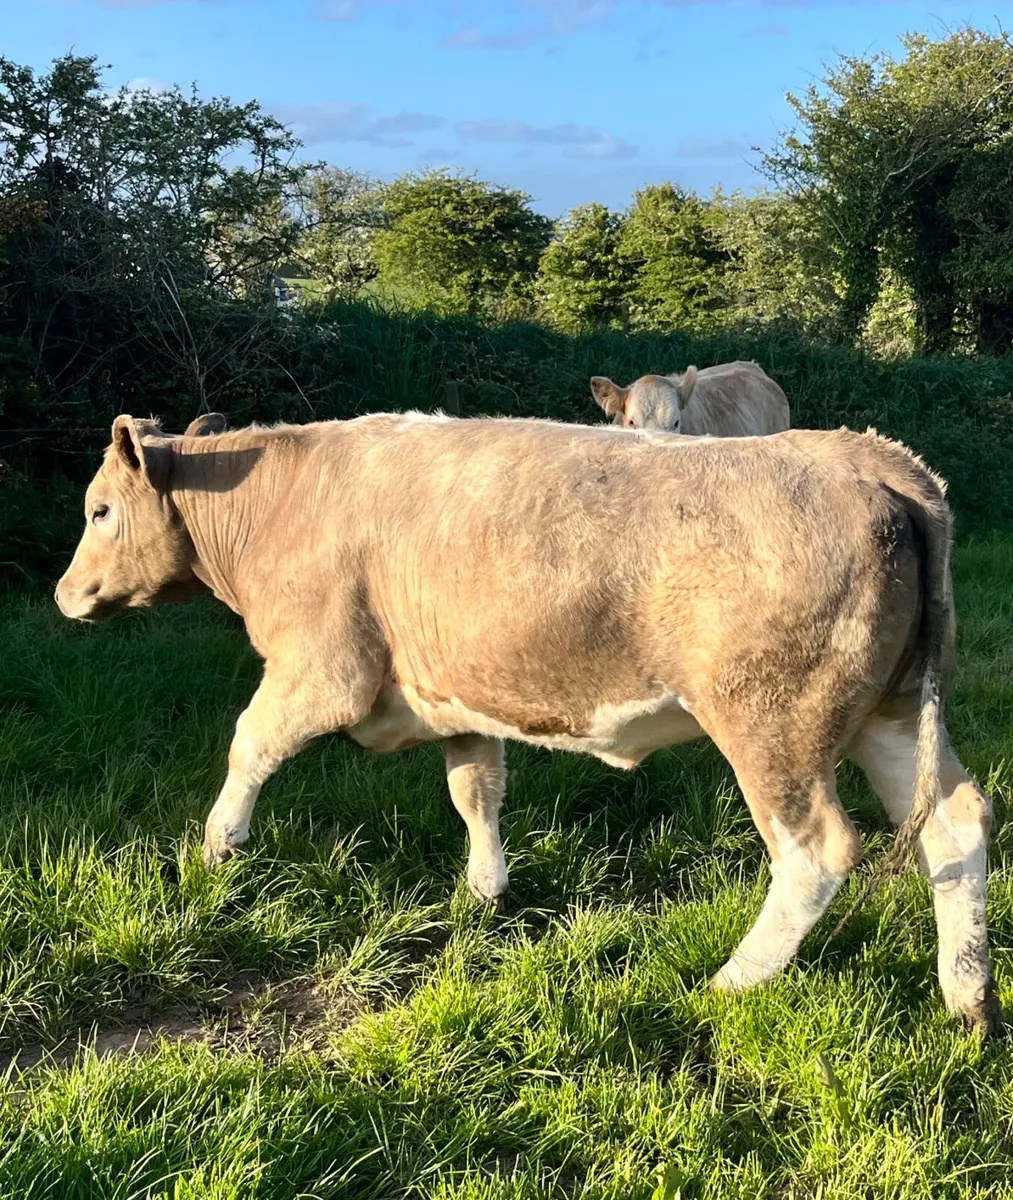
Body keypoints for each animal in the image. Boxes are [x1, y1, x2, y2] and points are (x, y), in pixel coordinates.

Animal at [55, 410, 999, 1033]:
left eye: (99, 509)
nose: (64, 594)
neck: (276, 499)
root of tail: (865, 457)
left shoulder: (321, 668)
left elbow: (248, 745)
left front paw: (217, 849)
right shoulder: (458, 692)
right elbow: (475, 788)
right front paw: (483, 892)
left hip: (772, 725)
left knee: (815, 852)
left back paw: (734, 979)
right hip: (889, 716)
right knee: (954, 826)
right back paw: (968, 1000)